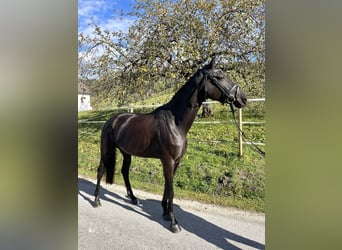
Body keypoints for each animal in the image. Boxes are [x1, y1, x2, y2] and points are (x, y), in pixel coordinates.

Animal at [95, 58, 247, 232]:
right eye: (220, 77)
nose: (243, 98)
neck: (175, 122)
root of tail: (112, 120)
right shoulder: (167, 160)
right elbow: (172, 190)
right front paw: (174, 223)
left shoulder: (176, 161)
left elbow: (167, 188)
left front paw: (166, 213)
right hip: (106, 151)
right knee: (100, 171)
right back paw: (96, 200)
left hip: (126, 153)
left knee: (125, 172)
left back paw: (133, 198)